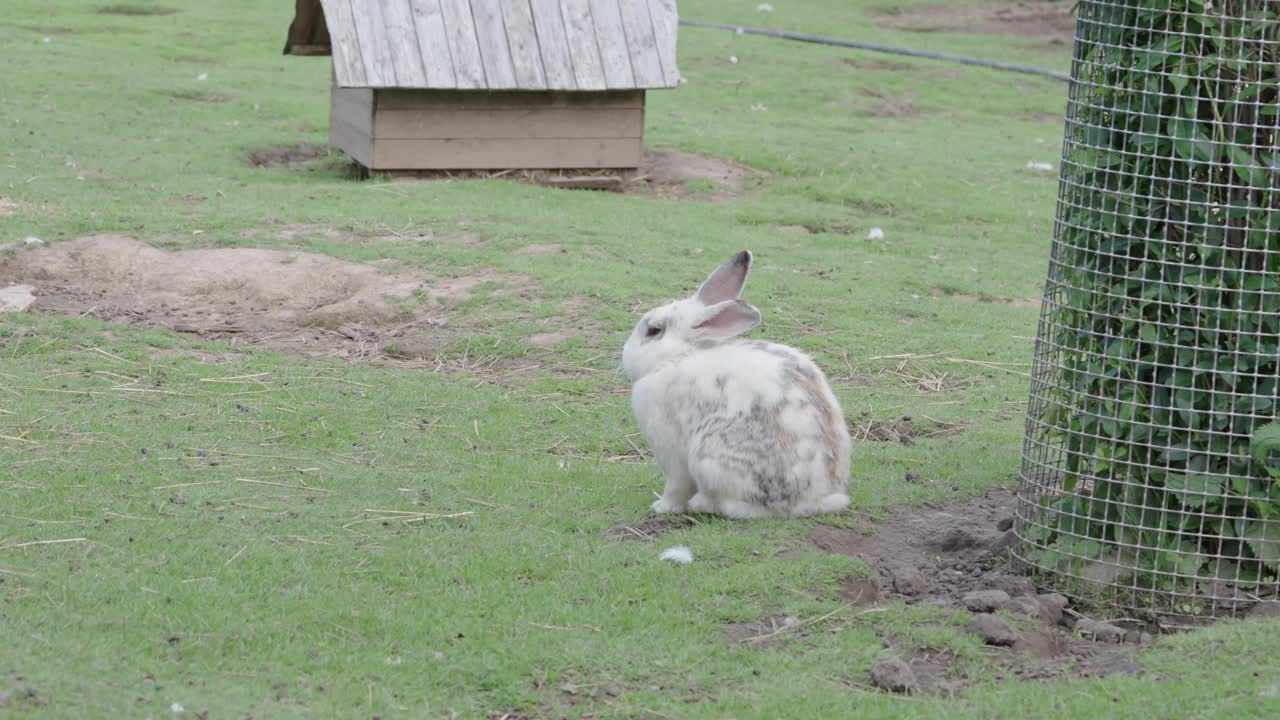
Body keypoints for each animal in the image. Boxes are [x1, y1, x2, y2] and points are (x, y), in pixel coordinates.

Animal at [619, 248, 849, 515]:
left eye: (654, 331)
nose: (625, 355)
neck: (676, 357)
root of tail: (810, 501)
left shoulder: (671, 451)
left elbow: (675, 487)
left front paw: (661, 507)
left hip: (710, 459)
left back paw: (700, 504)